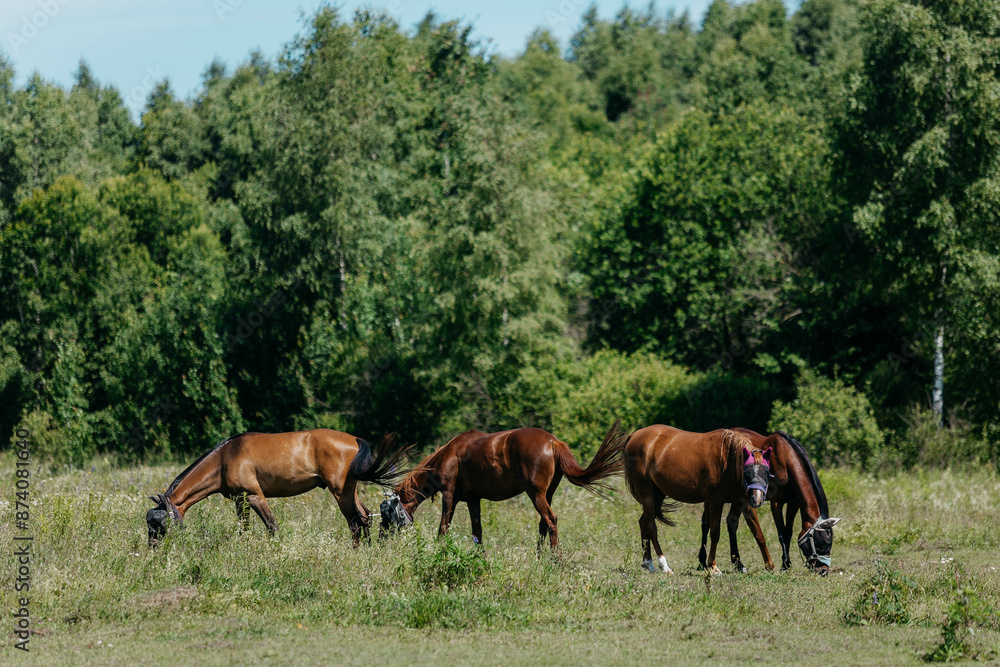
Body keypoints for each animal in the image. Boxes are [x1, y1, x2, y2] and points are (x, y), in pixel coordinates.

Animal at [145, 429, 410, 546]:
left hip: (340, 493)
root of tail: (354, 439)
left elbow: (272, 527)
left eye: (159, 523)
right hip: (349, 491)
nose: (153, 548)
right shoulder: (241, 501)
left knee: (355, 521)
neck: (224, 458)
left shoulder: (254, 496)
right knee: (364, 517)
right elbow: (244, 530)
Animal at [379, 421, 628, 550]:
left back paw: (555, 558)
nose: (380, 538)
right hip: (547, 494)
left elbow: (443, 528)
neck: (449, 455)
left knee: (550, 521)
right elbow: (477, 531)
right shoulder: (473, 500)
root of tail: (553, 441)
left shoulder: (449, 496)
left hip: (536, 494)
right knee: (543, 524)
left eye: (387, 512)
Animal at [622, 425, 773, 575]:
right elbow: (715, 533)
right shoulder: (716, 501)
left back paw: (648, 563)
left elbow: (758, 532)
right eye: (747, 472)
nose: (758, 499)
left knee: (643, 522)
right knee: (651, 526)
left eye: (766, 472)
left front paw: (769, 565)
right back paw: (664, 565)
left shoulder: (744, 502)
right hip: (646, 491)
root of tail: (633, 435)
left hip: (658, 494)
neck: (727, 458)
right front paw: (713, 566)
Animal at [697, 428, 841, 575]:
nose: (824, 571)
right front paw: (785, 565)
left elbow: (788, 532)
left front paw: (787, 563)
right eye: (819, 542)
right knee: (706, 523)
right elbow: (782, 533)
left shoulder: (793, 502)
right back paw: (702, 562)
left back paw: (738, 563)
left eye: (830, 543)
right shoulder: (776, 503)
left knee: (731, 521)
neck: (786, 461)